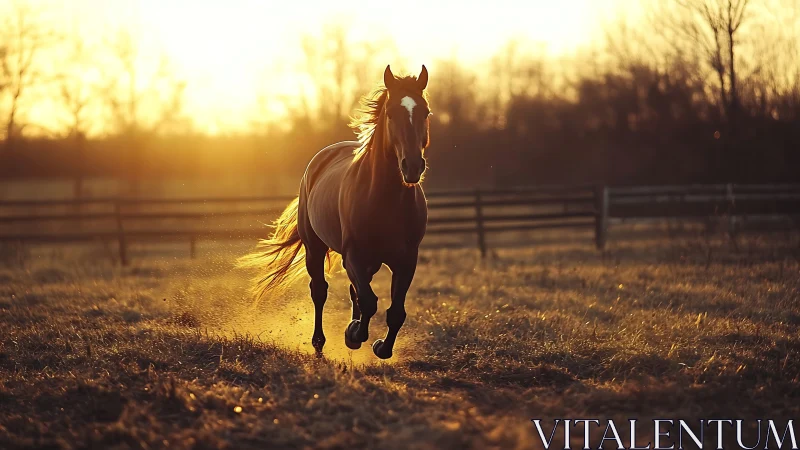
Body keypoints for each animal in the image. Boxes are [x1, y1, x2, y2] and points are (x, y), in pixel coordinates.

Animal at [239, 65, 431, 359]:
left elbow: (395, 311)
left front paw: (381, 347)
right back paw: (319, 344)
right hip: (315, 248)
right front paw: (354, 334)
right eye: (391, 113)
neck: (386, 200)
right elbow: (369, 301)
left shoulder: (406, 259)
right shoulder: (353, 255)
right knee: (320, 291)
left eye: (426, 112)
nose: (412, 166)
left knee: (354, 291)